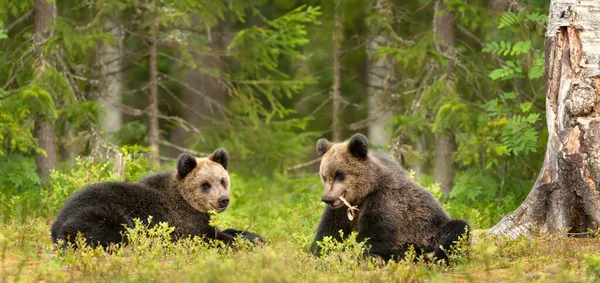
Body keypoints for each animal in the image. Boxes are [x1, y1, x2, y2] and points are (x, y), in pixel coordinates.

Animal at [48, 149, 260, 248]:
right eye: (205, 184)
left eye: (223, 180)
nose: (223, 200)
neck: (187, 202)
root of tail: (56, 222)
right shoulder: (181, 221)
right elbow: (209, 237)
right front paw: (248, 242)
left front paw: (251, 234)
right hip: (98, 214)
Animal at [312, 134, 472, 266]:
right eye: (324, 176)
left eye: (339, 175)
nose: (326, 198)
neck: (365, 192)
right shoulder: (341, 210)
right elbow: (328, 233)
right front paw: (320, 253)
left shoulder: (385, 201)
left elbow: (374, 236)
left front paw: (349, 253)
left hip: (432, 231)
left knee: (457, 230)